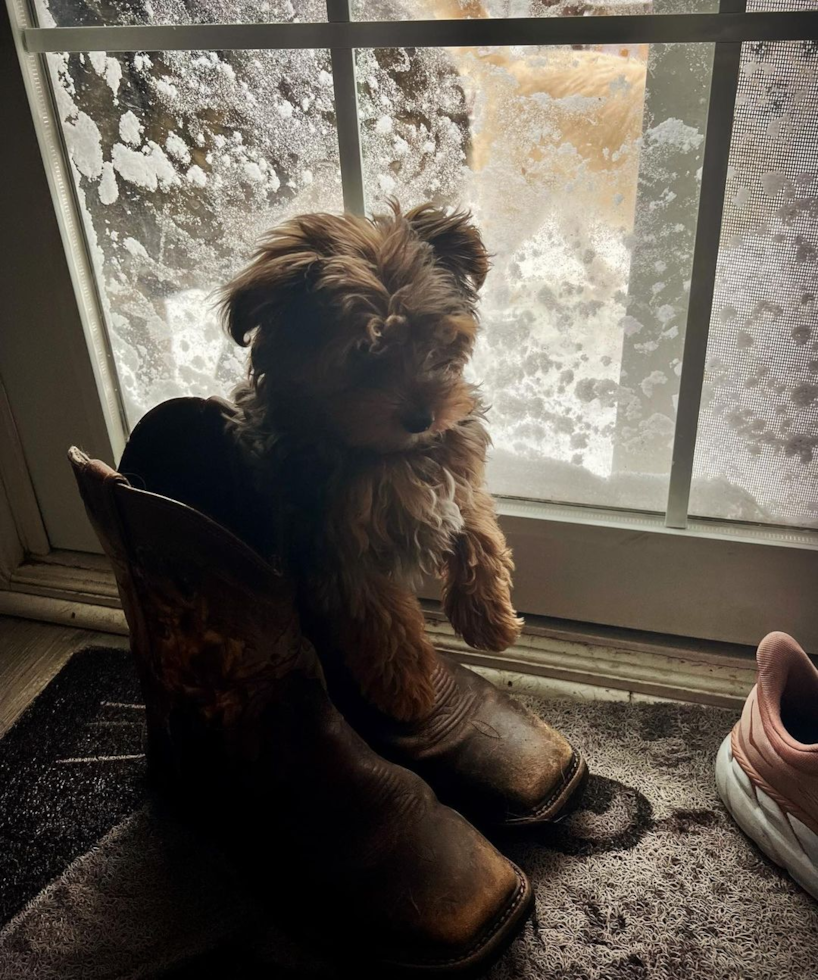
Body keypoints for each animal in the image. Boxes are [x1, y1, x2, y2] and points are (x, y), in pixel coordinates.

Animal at [220, 201, 520, 720]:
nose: (422, 418)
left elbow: (480, 529)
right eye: (363, 352)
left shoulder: (459, 474)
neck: (391, 454)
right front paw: (406, 687)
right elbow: (381, 615)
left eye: (438, 338)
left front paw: (491, 617)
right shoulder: (337, 540)